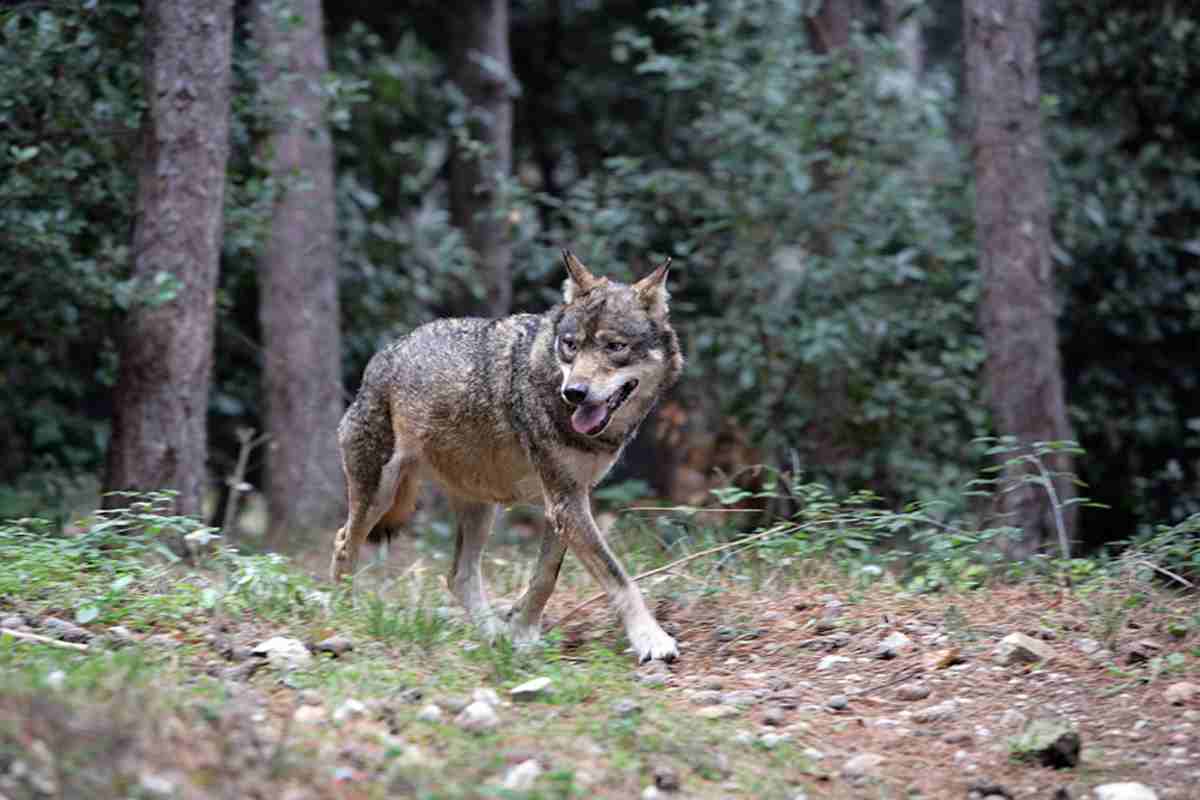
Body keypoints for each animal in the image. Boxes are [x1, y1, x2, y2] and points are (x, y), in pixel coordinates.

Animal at [328, 250, 686, 662]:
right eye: (571, 345)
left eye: (614, 347)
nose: (574, 392)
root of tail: (382, 356)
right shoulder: (565, 502)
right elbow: (618, 576)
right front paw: (651, 639)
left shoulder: (566, 502)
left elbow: (545, 577)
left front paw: (521, 632)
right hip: (379, 496)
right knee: (344, 542)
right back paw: (345, 614)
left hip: (481, 507)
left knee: (458, 576)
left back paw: (493, 635)